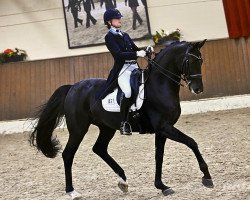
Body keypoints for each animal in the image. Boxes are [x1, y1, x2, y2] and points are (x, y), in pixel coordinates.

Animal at [29, 39, 213, 199]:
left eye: (201, 60)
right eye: (189, 60)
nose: (198, 89)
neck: (159, 86)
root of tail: (73, 87)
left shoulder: (162, 130)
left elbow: (159, 156)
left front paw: (162, 186)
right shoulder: (164, 127)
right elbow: (191, 142)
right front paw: (206, 177)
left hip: (106, 127)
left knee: (99, 149)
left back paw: (123, 181)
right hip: (78, 129)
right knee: (68, 154)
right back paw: (72, 192)